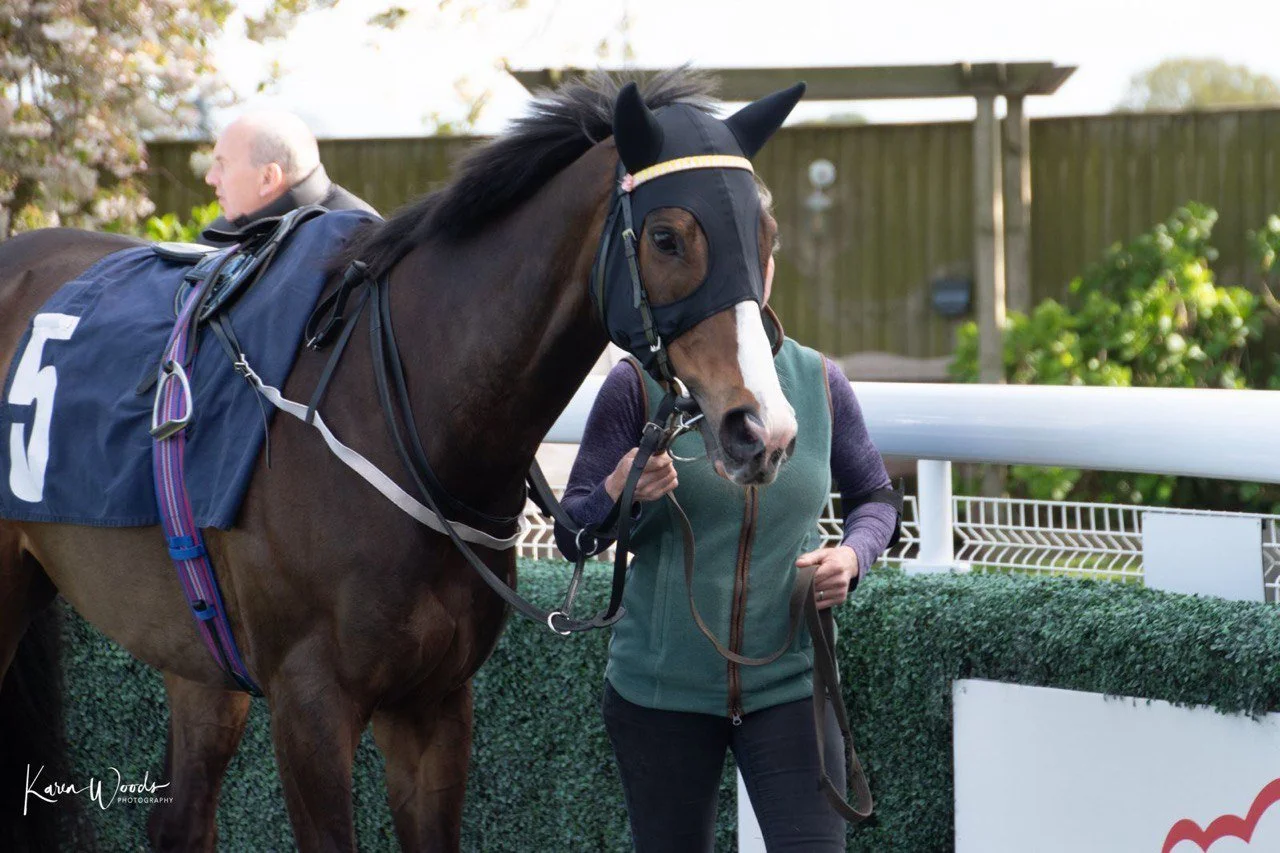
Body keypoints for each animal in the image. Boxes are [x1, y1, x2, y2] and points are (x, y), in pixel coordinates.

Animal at [0, 69, 802, 851]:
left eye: (766, 234)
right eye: (668, 237)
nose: (761, 428)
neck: (412, 416)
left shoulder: (434, 705)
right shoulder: (309, 705)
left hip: (197, 649)